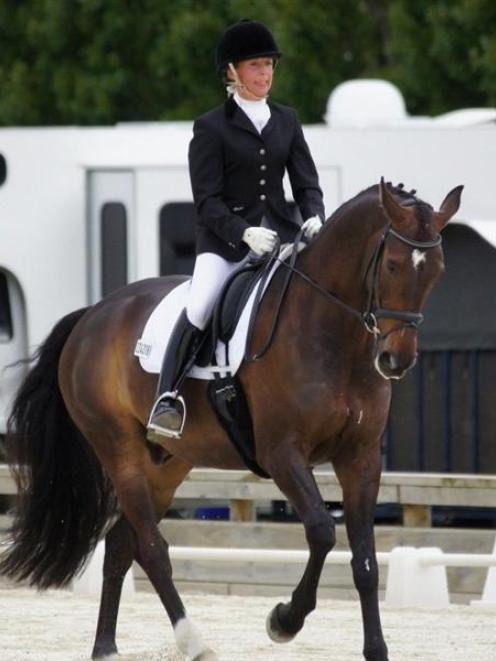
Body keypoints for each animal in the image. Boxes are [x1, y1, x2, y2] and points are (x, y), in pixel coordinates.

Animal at [1, 178, 464, 656]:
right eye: (392, 265)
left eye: (437, 270)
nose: (395, 360)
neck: (335, 338)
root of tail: (91, 315)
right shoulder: (282, 454)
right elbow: (322, 531)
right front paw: (284, 620)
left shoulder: (361, 457)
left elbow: (366, 561)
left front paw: (376, 650)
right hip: (118, 448)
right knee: (152, 547)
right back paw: (193, 641)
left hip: (167, 463)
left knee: (121, 544)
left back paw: (106, 648)